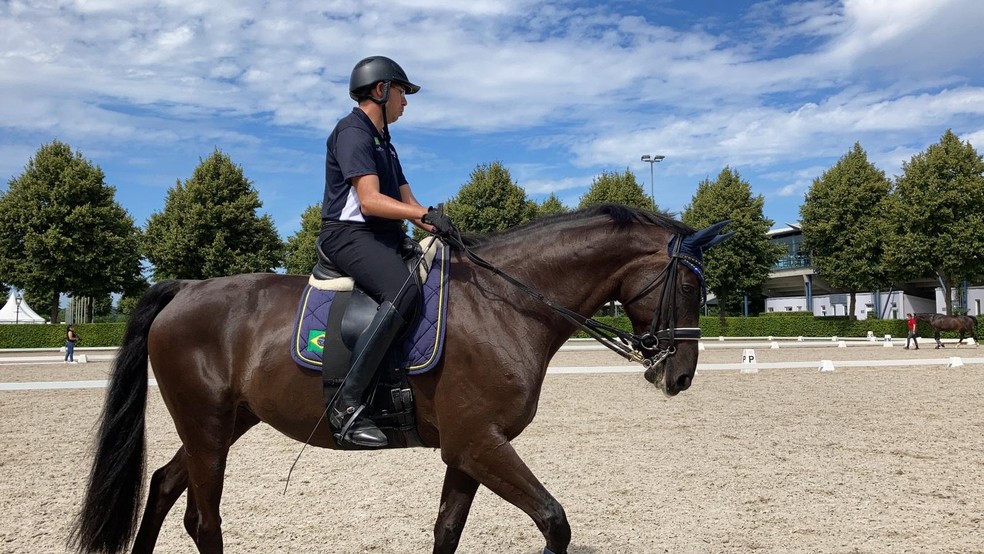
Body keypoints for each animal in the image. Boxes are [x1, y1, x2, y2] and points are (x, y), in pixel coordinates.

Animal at [69, 203, 732, 552]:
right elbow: (554, 520)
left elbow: (447, 531)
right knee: (203, 519)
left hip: (224, 423)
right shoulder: (479, 442)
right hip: (208, 426)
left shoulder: (467, 449)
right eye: (690, 284)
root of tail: (187, 288)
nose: (680, 376)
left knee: (162, 487)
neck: (506, 304)